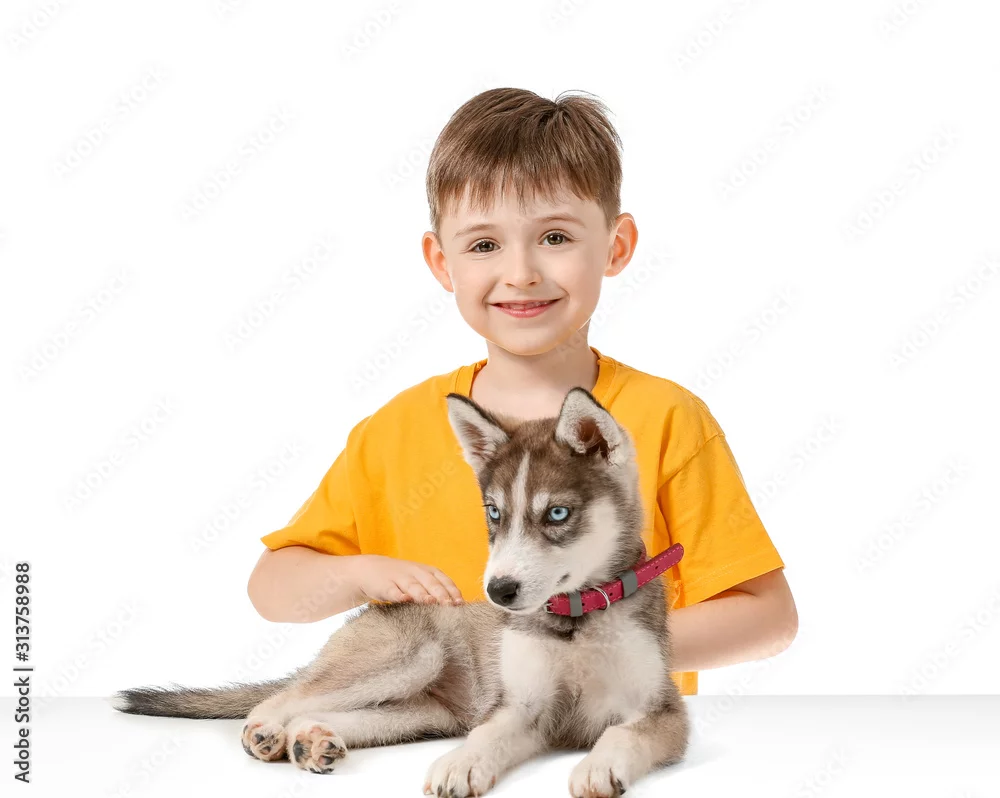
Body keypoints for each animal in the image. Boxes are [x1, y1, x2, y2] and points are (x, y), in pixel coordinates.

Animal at [112, 387, 690, 797]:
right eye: (494, 513)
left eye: (558, 514)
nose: (499, 591)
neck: (575, 620)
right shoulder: (520, 707)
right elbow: (488, 736)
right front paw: (462, 763)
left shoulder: (662, 712)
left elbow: (623, 734)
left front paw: (600, 765)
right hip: (410, 656)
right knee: (283, 697)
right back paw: (269, 731)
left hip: (419, 714)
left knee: (323, 712)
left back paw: (310, 740)